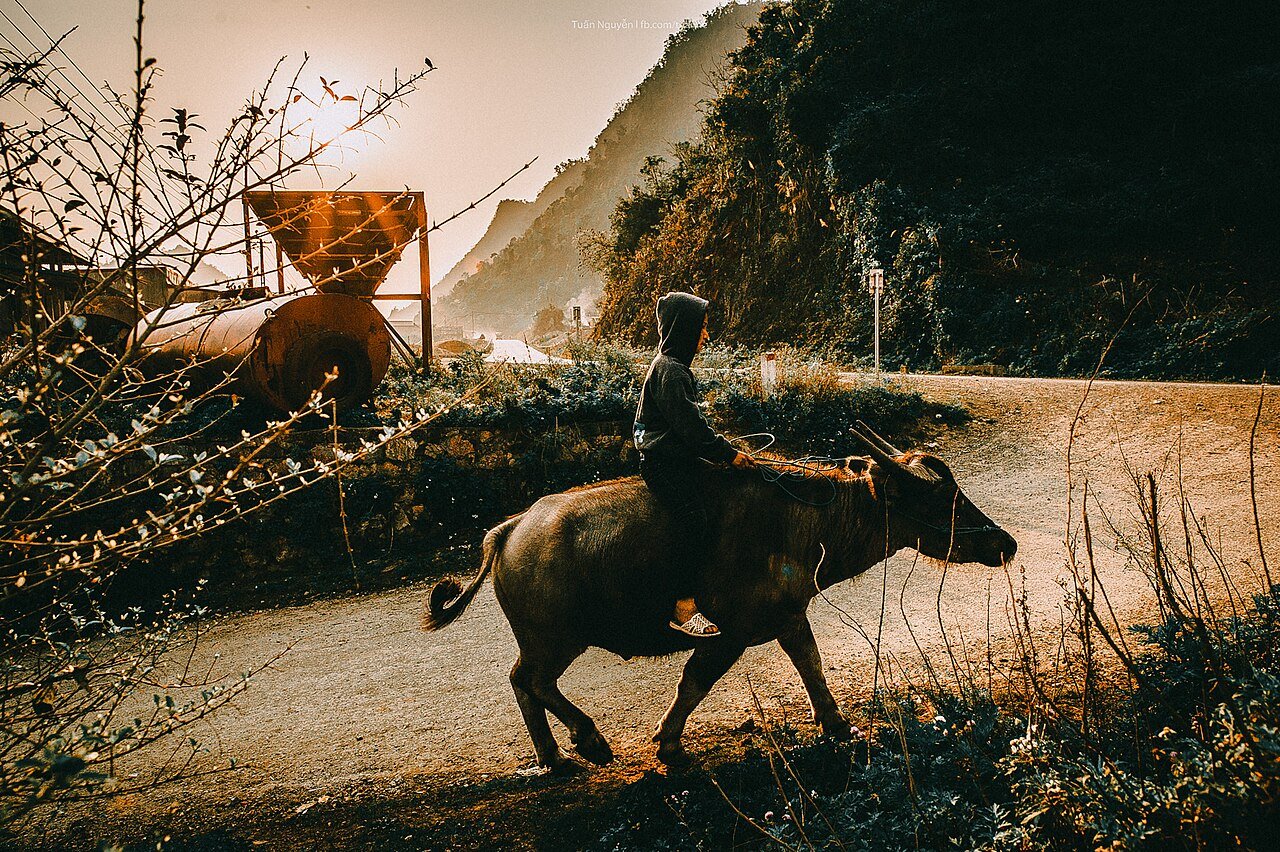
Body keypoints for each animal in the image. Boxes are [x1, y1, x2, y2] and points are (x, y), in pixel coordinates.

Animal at [423, 423, 1016, 771]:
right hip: (556, 639)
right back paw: (588, 742)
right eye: (939, 499)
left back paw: (553, 755)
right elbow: (694, 684)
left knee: (523, 684)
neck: (800, 519)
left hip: (546, 641)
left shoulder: (787, 617)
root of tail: (509, 529)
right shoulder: (733, 632)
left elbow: (811, 666)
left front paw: (836, 724)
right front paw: (667, 742)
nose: (1004, 543)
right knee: (533, 682)